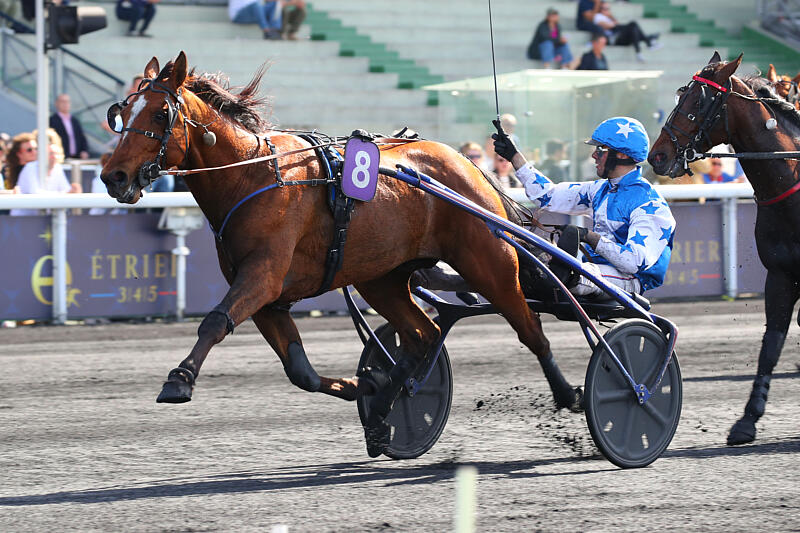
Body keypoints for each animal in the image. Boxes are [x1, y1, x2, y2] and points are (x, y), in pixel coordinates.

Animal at [99, 51, 583, 458]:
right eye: (122, 112)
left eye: (161, 113)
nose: (113, 176)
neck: (253, 176)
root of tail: (468, 165)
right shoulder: (269, 299)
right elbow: (301, 372)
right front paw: (363, 384)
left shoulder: (262, 277)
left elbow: (215, 321)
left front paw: (178, 380)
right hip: (382, 277)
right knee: (422, 335)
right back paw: (384, 409)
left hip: (489, 262)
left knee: (531, 330)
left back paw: (570, 394)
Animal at [648, 51, 800, 445]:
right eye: (682, 93)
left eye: (698, 102)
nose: (658, 155)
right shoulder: (780, 275)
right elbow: (770, 346)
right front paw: (746, 421)